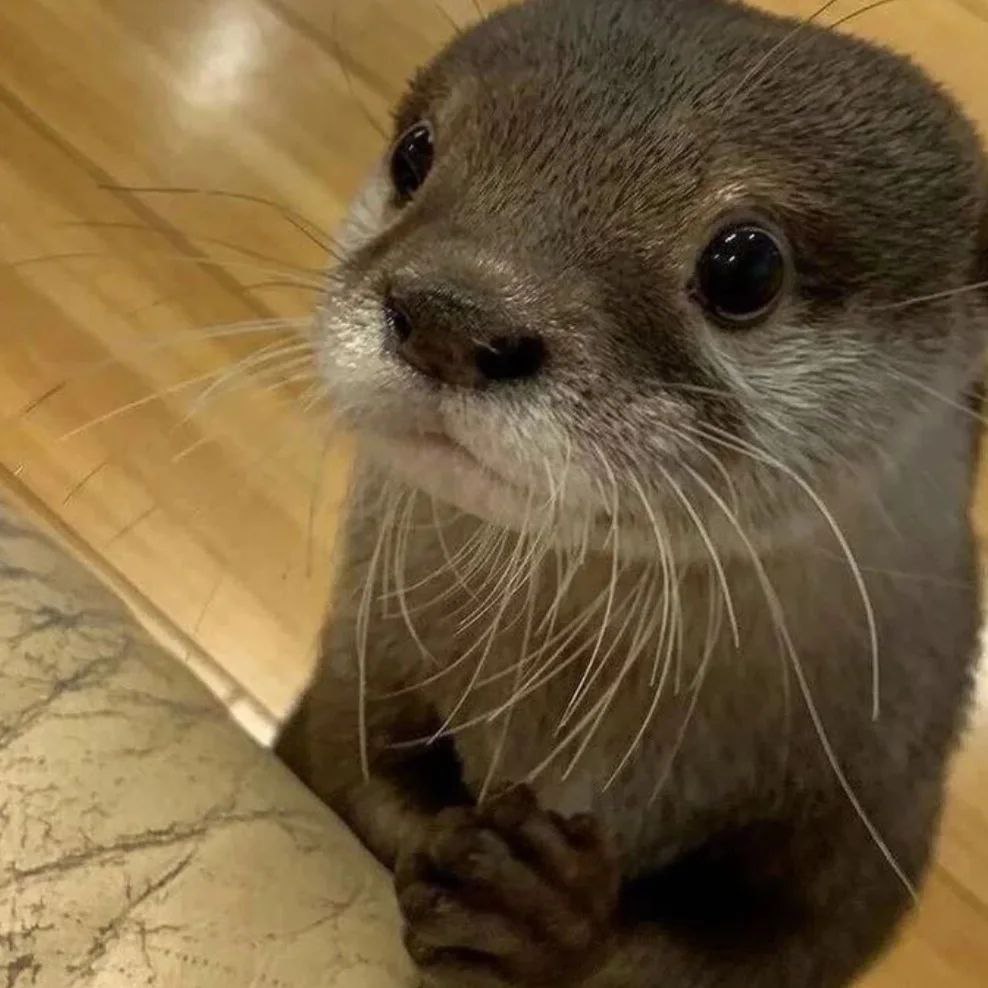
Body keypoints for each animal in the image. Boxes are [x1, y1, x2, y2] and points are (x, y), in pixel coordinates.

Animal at [276, 1, 988, 985]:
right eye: (416, 155)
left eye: (745, 264)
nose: (454, 313)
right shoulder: (363, 663)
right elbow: (351, 771)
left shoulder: (875, 821)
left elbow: (766, 952)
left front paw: (546, 920)